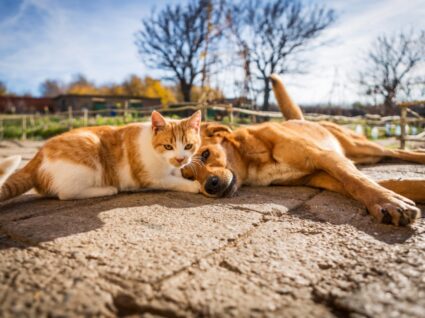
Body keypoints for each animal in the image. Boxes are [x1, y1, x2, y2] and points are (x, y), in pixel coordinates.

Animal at [0, 110, 201, 201]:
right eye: (168, 146)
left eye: (189, 146)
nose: (180, 159)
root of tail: (39, 152)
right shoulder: (151, 178)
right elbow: (172, 181)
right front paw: (193, 185)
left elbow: (176, 174)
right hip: (89, 152)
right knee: (66, 193)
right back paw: (107, 189)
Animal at [181, 74, 424, 226]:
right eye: (188, 176)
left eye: (206, 154)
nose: (210, 186)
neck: (252, 161)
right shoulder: (321, 177)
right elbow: (356, 185)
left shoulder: (327, 157)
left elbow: (358, 181)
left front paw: (389, 202)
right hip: (362, 156)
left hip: (361, 146)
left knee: (398, 152)